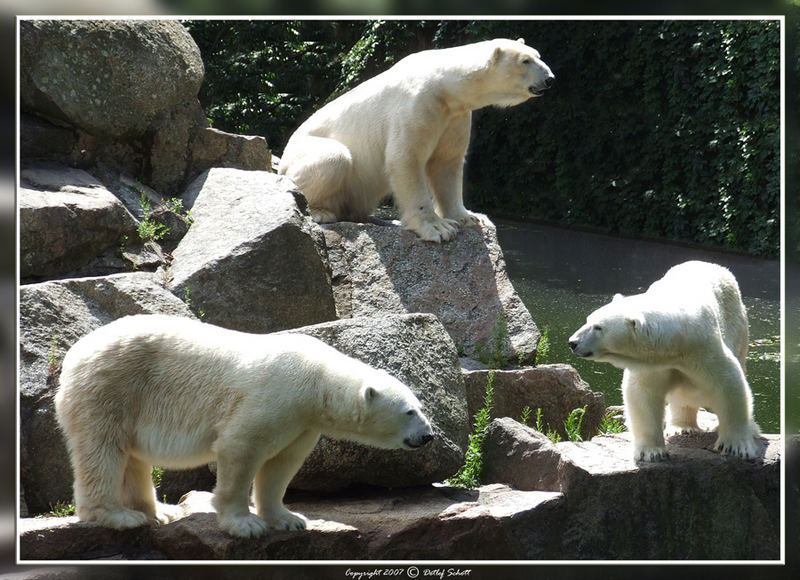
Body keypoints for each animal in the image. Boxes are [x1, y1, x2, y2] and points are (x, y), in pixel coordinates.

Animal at [55, 314, 434, 536]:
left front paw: (289, 519)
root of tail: (74, 353)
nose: (428, 435)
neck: (317, 379)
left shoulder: (302, 423)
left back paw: (158, 513)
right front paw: (245, 524)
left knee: (132, 457)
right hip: (112, 386)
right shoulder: (275, 396)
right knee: (102, 449)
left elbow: (281, 465)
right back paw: (119, 516)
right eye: (408, 412)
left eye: (420, 406)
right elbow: (241, 447)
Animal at [278, 38, 552, 242]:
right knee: (333, 158)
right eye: (526, 60)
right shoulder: (419, 103)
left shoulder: (455, 115)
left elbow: (446, 162)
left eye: (538, 55)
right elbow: (406, 158)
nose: (550, 79)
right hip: (302, 157)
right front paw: (438, 228)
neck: (446, 84)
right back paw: (321, 212)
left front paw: (470, 217)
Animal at [564, 262, 760, 462]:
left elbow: (729, 385)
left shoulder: (705, 348)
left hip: (737, 325)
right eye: (588, 320)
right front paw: (651, 452)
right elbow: (643, 394)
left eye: (598, 327)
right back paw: (683, 427)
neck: (678, 345)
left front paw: (736, 447)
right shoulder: (652, 363)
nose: (573, 342)